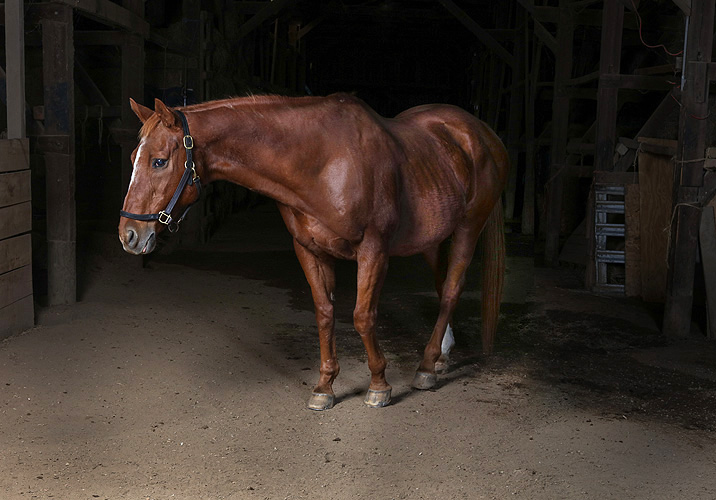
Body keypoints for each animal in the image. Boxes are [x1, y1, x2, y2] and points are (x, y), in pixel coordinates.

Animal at [118, 93, 509, 410]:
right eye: (134, 157)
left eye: (158, 161)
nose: (129, 235)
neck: (324, 162)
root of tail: (481, 133)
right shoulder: (309, 250)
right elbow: (324, 313)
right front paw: (325, 387)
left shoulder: (374, 250)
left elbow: (363, 316)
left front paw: (379, 385)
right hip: (431, 239)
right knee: (443, 286)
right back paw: (441, 355)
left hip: (467, 229)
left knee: (452, 291)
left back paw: (427, 366)